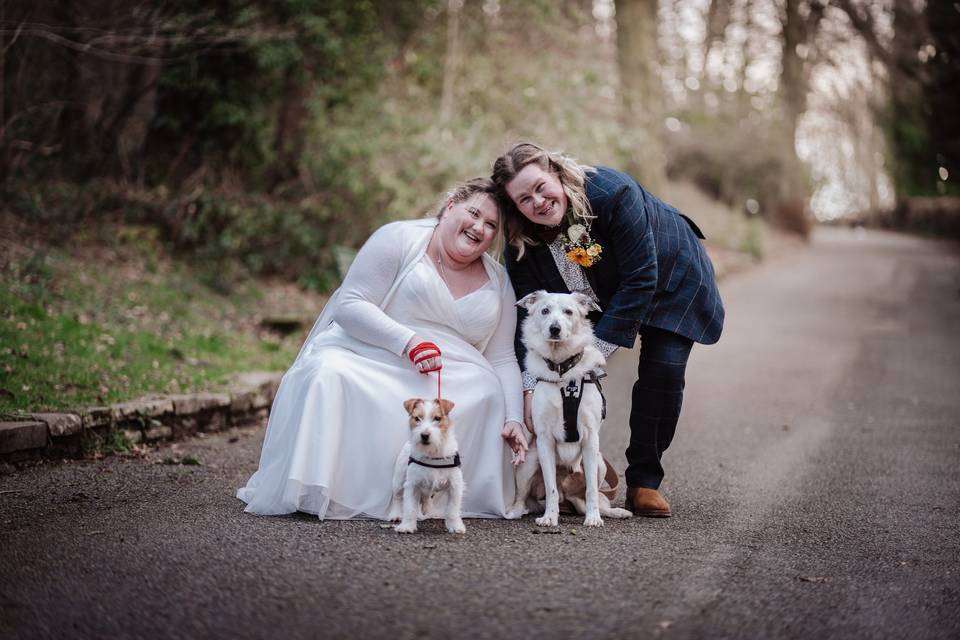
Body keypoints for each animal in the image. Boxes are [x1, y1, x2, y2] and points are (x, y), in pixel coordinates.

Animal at [388, 398, 466, 532]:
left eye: (437, 418)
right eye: (417, 418)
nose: (424, 435)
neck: (433, 452)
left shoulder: (455, 486)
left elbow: (452, 509)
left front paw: (455, 526)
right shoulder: (412, 485)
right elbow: (410, 508)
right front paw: (407, 526)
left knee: (427, 496)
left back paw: (429, 510)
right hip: (398, 480)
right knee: (397, 497)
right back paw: (395, 515)